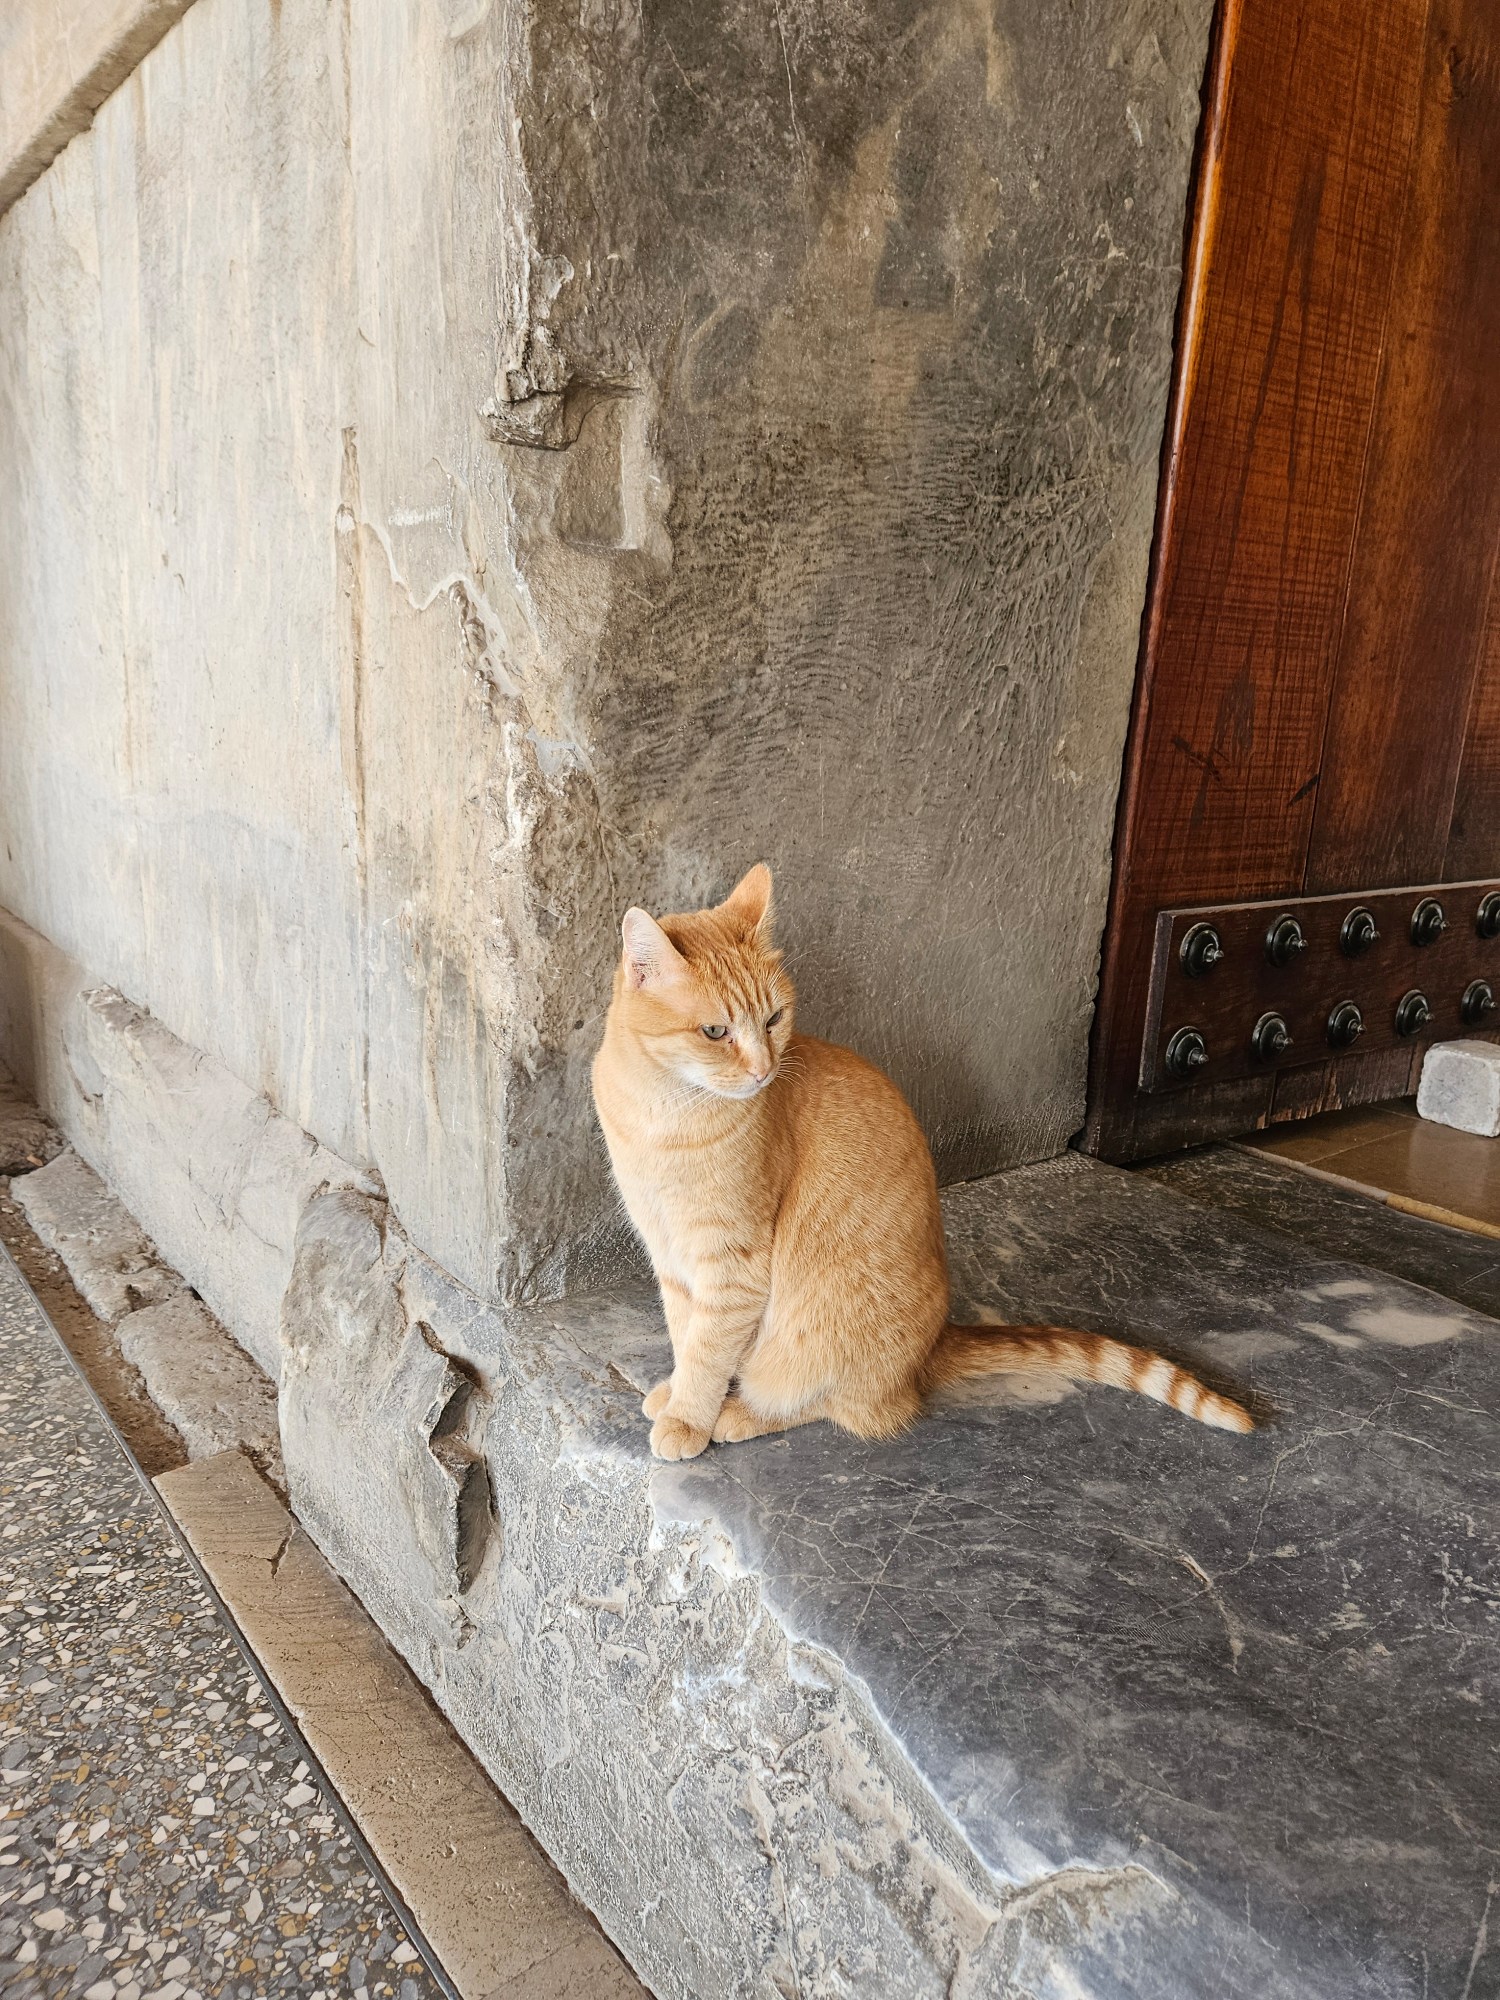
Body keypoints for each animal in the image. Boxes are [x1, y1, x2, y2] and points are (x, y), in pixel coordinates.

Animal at [591, 863, 1254, 1461]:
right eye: (714, 1032)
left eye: (774, 1019)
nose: (762, 1071)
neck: (663, 1112)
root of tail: (933, 1347)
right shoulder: (671, 1255)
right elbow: (687, 1336)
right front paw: (677, 1393)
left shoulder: (731, 1266)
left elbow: (708, 1351)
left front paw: (689, 1418)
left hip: (821, 1336)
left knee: (840, 1404)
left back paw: (739, 1415)